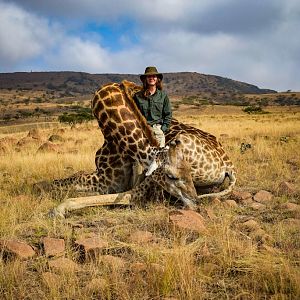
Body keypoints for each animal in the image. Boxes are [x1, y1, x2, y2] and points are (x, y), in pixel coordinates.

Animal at [47, 79, 236, 216]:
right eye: (171, 176)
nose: (196, 204)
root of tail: (230, 167)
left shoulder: (110, 180)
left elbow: (65, 181)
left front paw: (58, 208)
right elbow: (66, 179)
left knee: (135, 194)